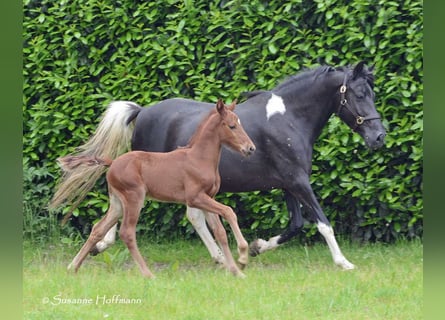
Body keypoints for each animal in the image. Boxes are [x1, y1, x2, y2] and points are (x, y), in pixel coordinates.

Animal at [59, 100, 253, 278]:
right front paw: (243, 256)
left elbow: (220, 232)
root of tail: (112, 162)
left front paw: (236, 271)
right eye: (232, 126)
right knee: (127, 233)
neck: (198, 158)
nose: (250, 148)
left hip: (117, 203)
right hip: (134, 198)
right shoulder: (195, 198)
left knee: (98, 229)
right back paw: (148, 274)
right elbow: (228, 211)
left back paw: (73, 267)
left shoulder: (208, 198)